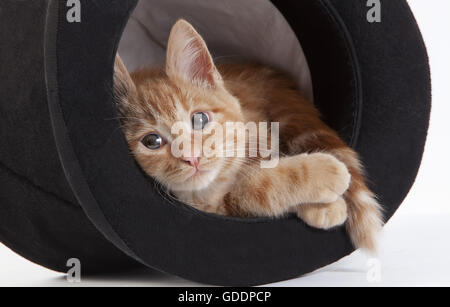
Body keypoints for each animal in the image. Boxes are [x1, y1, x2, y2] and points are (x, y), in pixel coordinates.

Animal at [115, 19, 384, 251]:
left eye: (200, 119)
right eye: (152, 141)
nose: (192, 158)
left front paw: (324, 203)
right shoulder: (217, 207)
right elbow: (258, 188)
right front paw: (324, 175)